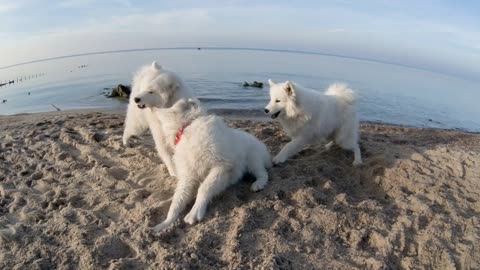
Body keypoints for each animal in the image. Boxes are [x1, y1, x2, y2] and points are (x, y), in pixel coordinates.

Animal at [152, 99, 272, 232]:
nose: (154, 106)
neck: (188, 127)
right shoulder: (188, 177)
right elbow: (177, 202)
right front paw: (164, 224)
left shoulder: (222, 166)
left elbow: (204, 188)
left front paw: (194, 212)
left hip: (253, 159)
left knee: (263, 173)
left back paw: (258, 184)